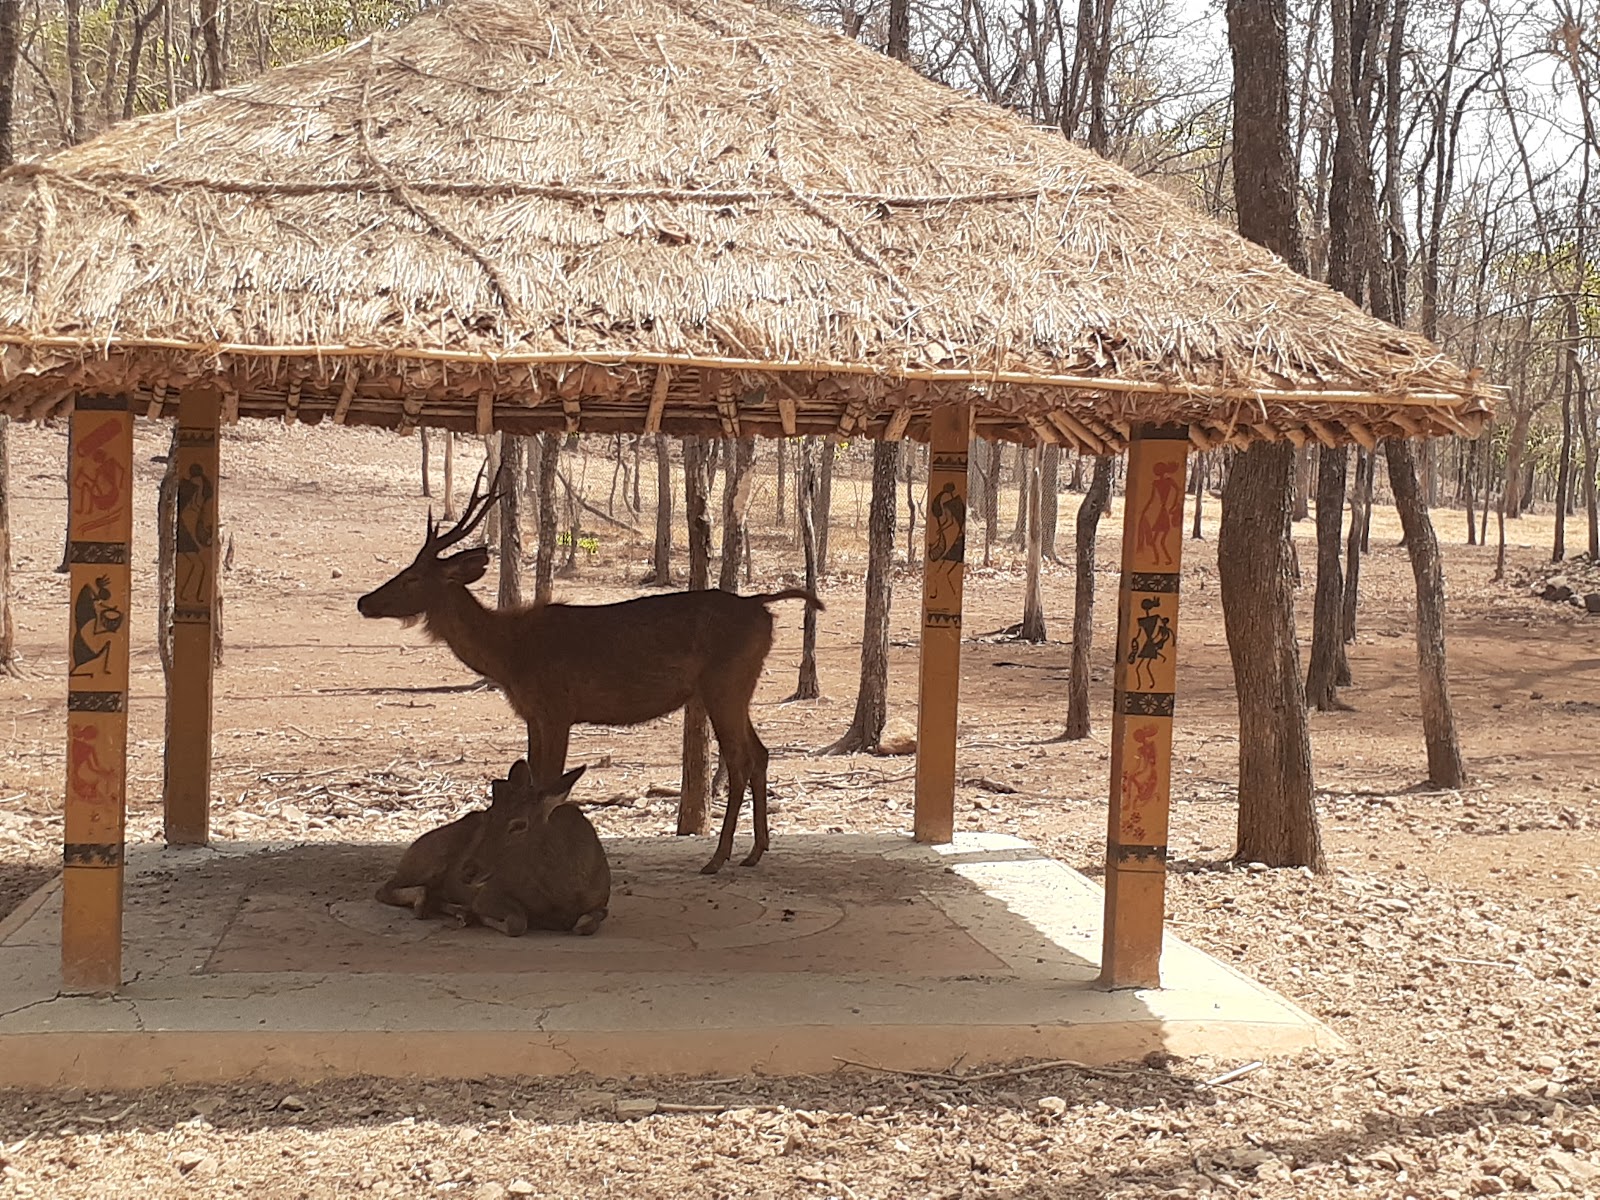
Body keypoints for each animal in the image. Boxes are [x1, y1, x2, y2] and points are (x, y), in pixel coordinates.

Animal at [356, 470, 824, 875]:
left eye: (412, 577)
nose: (364, 601)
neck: (509, 654)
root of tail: (762, 607)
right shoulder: (534, 714)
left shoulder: (556, 708)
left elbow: (549, 783)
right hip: (735, 688)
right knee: (760, 753)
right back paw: (755, 852)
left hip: (723, 683)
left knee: (740, 758)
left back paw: (718, 858)